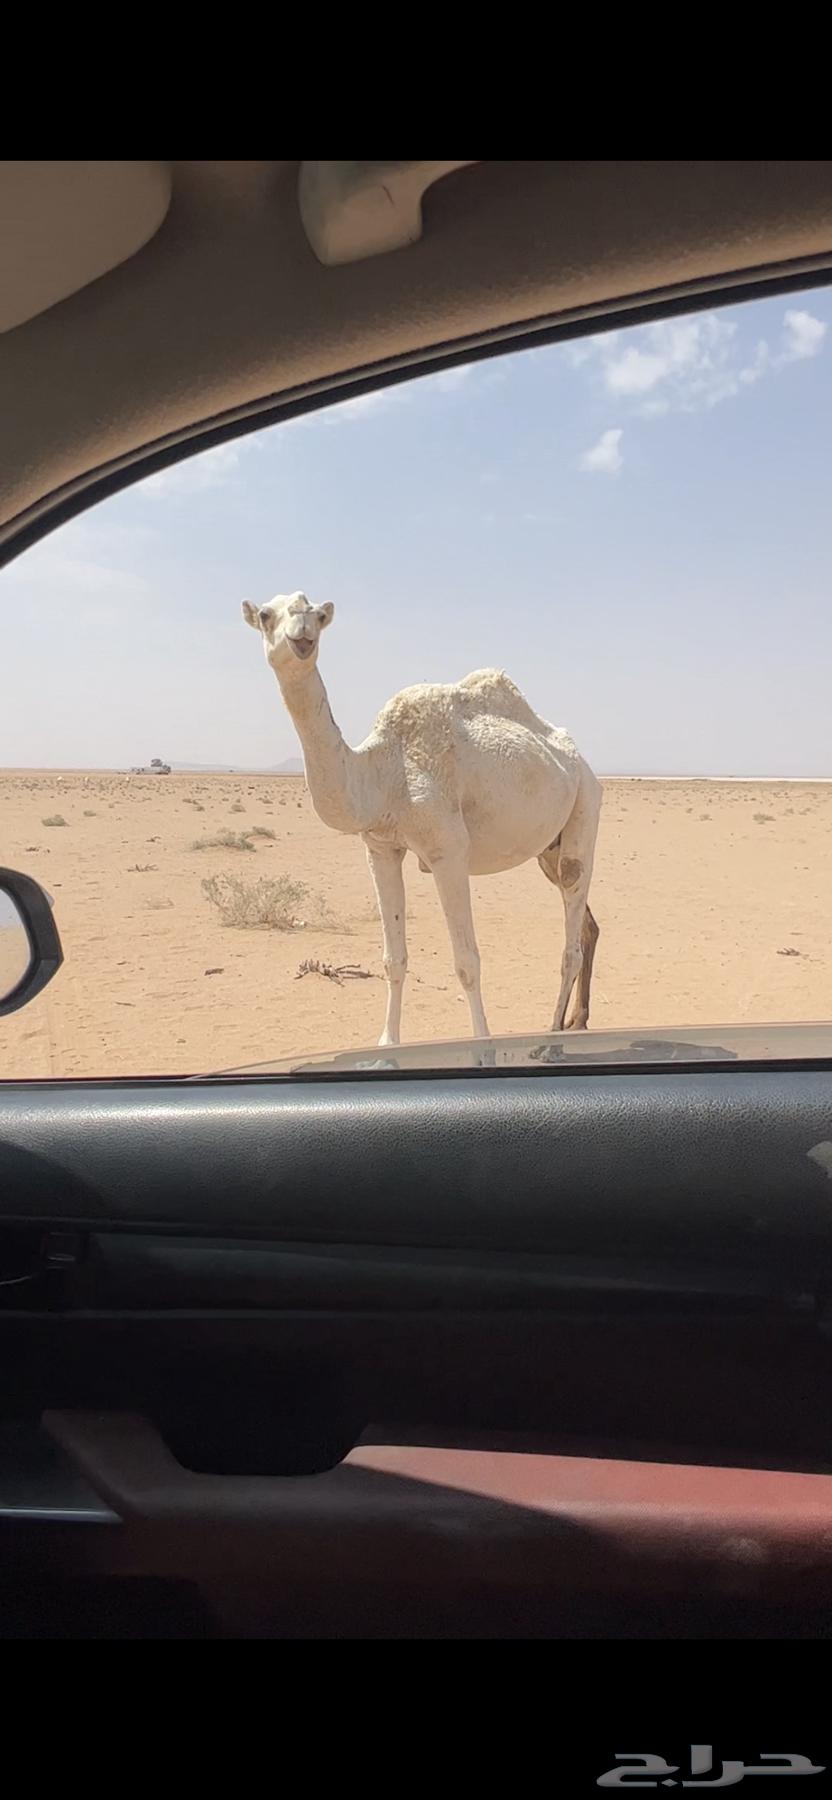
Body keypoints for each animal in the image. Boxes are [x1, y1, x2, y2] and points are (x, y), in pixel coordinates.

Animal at [242, 592, 601, 1047]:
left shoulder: (448, 851)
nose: (302, 636)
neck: (385, 770)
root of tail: (581, 762)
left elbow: (467, 962)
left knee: (571, 933)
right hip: (547, 849)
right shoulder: (380, 846)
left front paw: (482, 1044)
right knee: (586, 924)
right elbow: (393, 959)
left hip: (585, 806)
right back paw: (578, 1020)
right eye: (266, 615)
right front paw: (387, 1043)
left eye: (318, 616)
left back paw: (553, 1033)